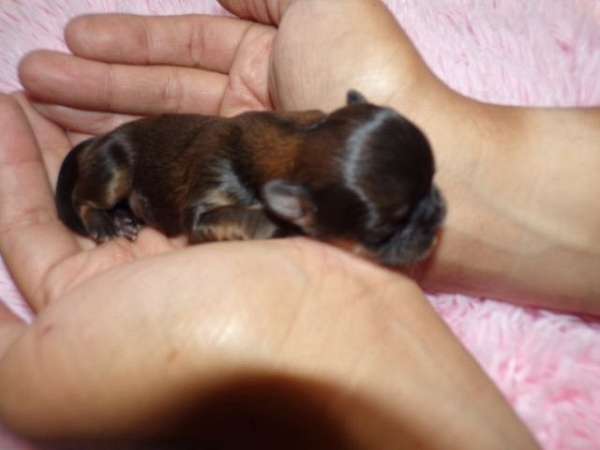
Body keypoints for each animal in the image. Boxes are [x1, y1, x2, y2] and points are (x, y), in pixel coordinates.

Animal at [56, 92, 448, 268]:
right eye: (382, 232)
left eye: (432, 179)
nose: (437, 219)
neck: (298, 144)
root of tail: (98, 140)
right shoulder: (206, 201)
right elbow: (241, 215)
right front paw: (276, 227)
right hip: (114, 169)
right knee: (83, 198)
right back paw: (106, 223)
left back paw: (125, 219)